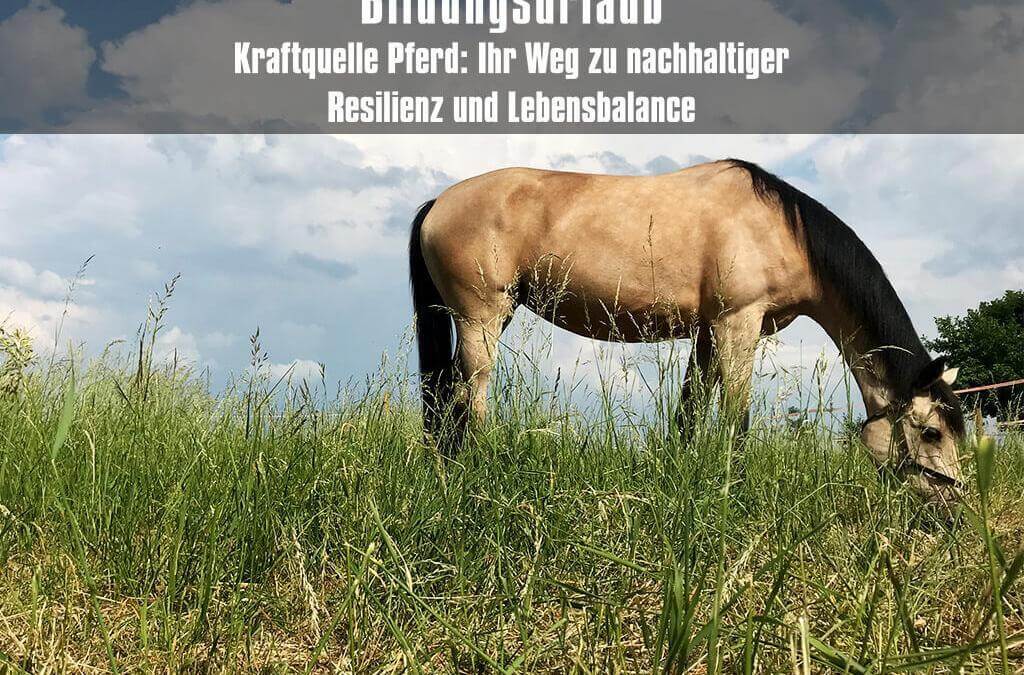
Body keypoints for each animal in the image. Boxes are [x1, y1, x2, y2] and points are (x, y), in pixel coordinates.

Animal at [408, 158, 965, 506]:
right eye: (932, 432)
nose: (951, 506)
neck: (781, 230)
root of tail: (438, 202)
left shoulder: (708, 332)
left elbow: (690, 409)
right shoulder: (739, 323)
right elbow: (736, 417)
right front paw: (734, 490)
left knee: (446, 393)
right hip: (481, 316)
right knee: (471, 394)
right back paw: (479, 467)